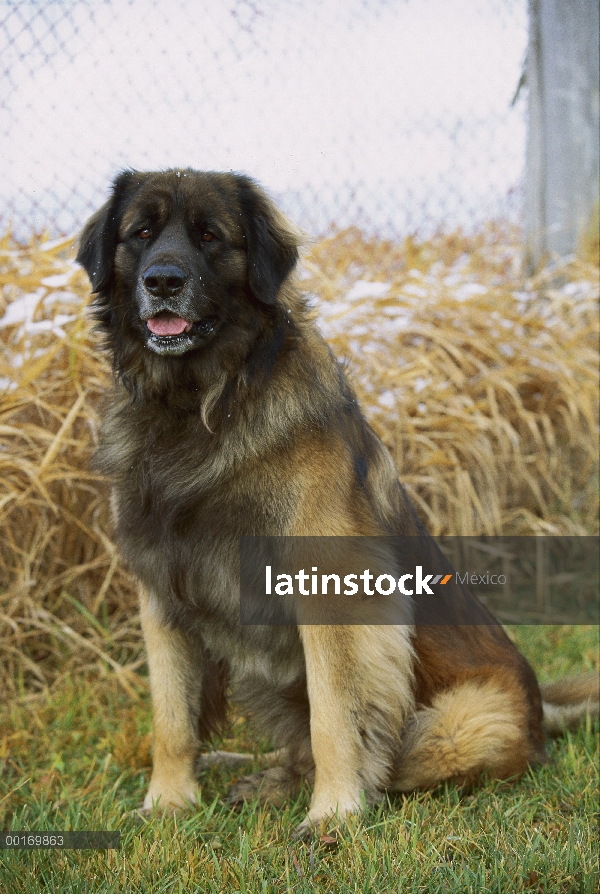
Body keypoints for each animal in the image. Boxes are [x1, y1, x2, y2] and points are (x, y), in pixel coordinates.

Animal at [77, 170, 596, 840]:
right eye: (141, 233)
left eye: (210, 236)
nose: (162, 281)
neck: (199, 407)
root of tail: (539, 712)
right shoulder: (162, 591)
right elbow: (172, 718)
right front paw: (168, 802)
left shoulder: (331, 594)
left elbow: (335, 717)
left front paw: (335, 814)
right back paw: (251, 771)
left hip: (456, 725)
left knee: (391, 757)